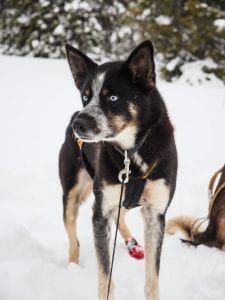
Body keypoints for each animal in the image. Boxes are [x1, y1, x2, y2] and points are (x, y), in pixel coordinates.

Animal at [58, 40, 178, 300]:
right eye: (86, 97)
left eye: (112, 97)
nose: (78, 124)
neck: (131, 154)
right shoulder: (100, 215)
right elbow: (106, 277)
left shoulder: (156, 214)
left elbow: (152, 278)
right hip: (72, 194)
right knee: (73, 238)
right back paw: (73, 266)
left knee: (121, 215)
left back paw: (132, 244)